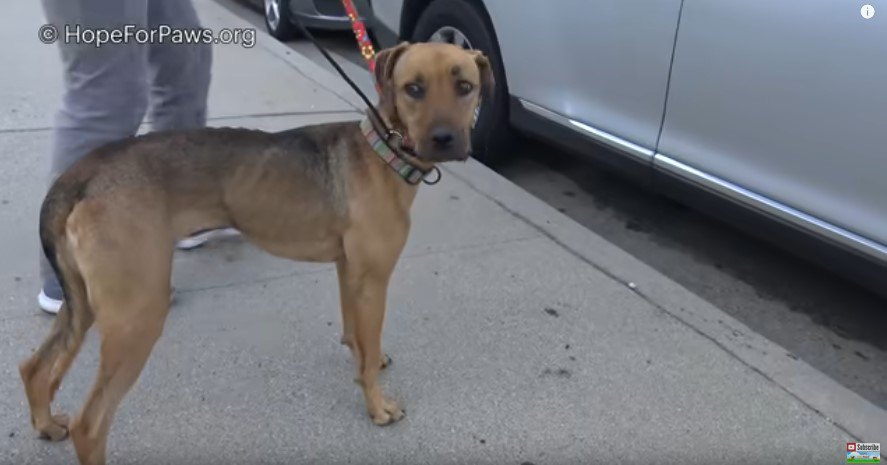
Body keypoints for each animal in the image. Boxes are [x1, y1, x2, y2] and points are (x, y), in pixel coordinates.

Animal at [19, 41, 492, 462]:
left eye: (464, 86)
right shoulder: (373, 279)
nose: (446, 138)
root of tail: (82, 173)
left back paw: (46, 424)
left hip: (85, 304)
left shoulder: (349, 271)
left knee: (36, 367)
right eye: (413, 88)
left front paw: (362, 364)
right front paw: (377, 407)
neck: (382, 152)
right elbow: (369, 347)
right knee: (91, 423)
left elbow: (358, 338)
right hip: (138, 313)